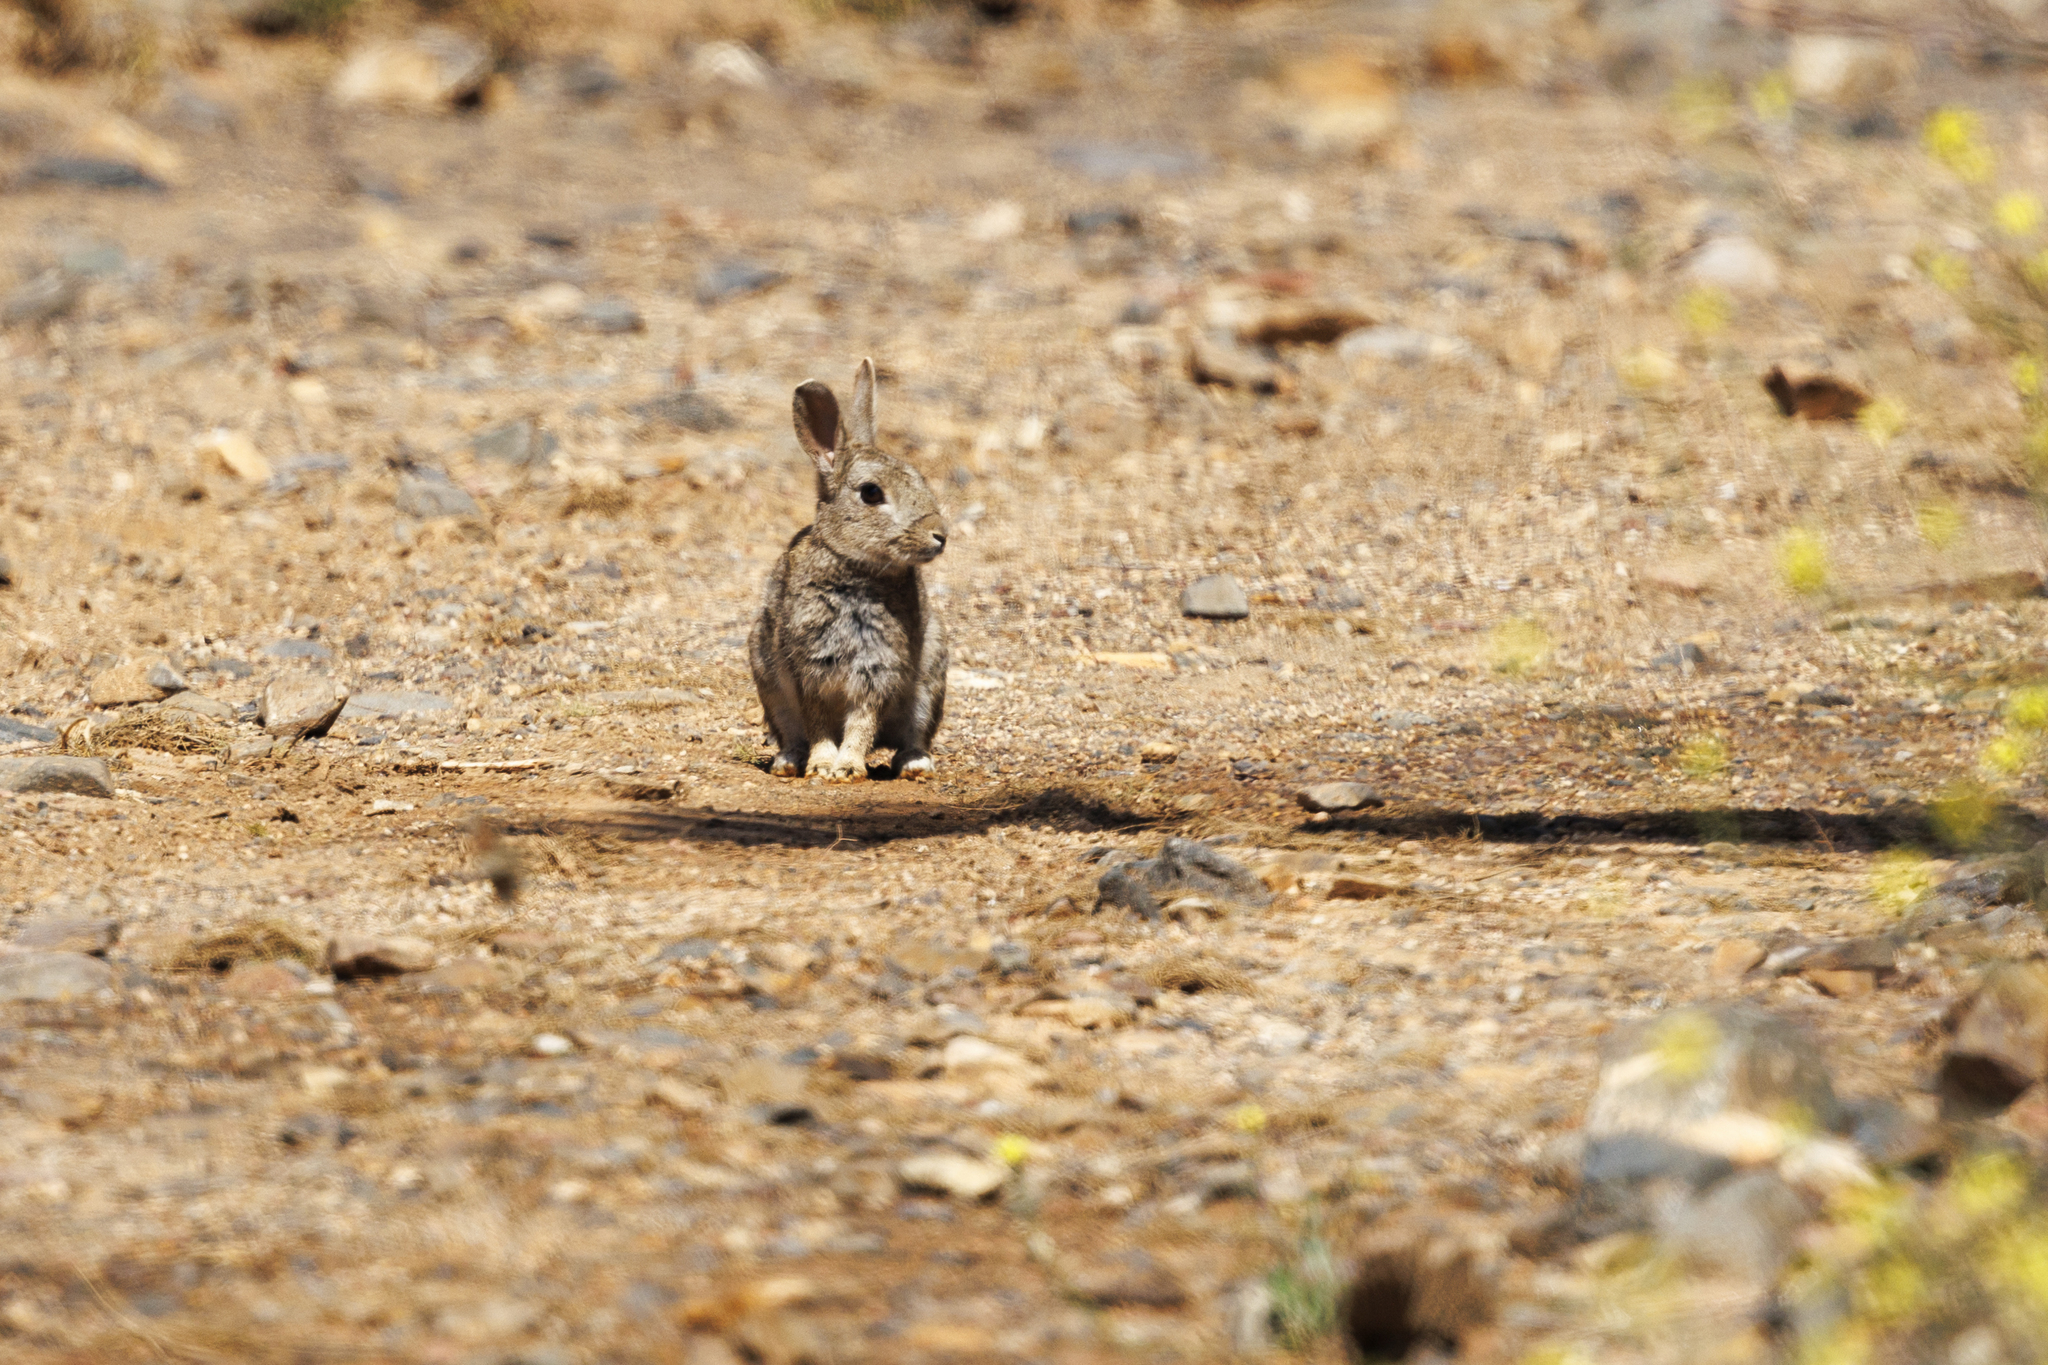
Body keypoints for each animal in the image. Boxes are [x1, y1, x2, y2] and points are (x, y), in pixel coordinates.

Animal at [748, 358, 948, 782]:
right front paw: (823, 766)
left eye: (919, 477)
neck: (852, 567)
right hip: (768, 681)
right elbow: (820, 724)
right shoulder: (807, 669)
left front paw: (847, 768)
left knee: (912, 736)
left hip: (929, 684)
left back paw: (915, 765)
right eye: (871, 493)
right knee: (791, 733)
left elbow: (861, 721)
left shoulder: (877, 667)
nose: (940, 535)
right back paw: (787, 764)